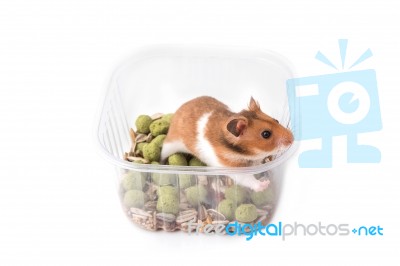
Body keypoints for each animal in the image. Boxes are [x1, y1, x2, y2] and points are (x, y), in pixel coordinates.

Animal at [160, 95, 294, 191]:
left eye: (276, 120)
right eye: (266, 134)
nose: (292, 139)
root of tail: (178, 110)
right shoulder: (234, 169)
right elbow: (248, 180)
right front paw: (266, 184)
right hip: (169, 145)